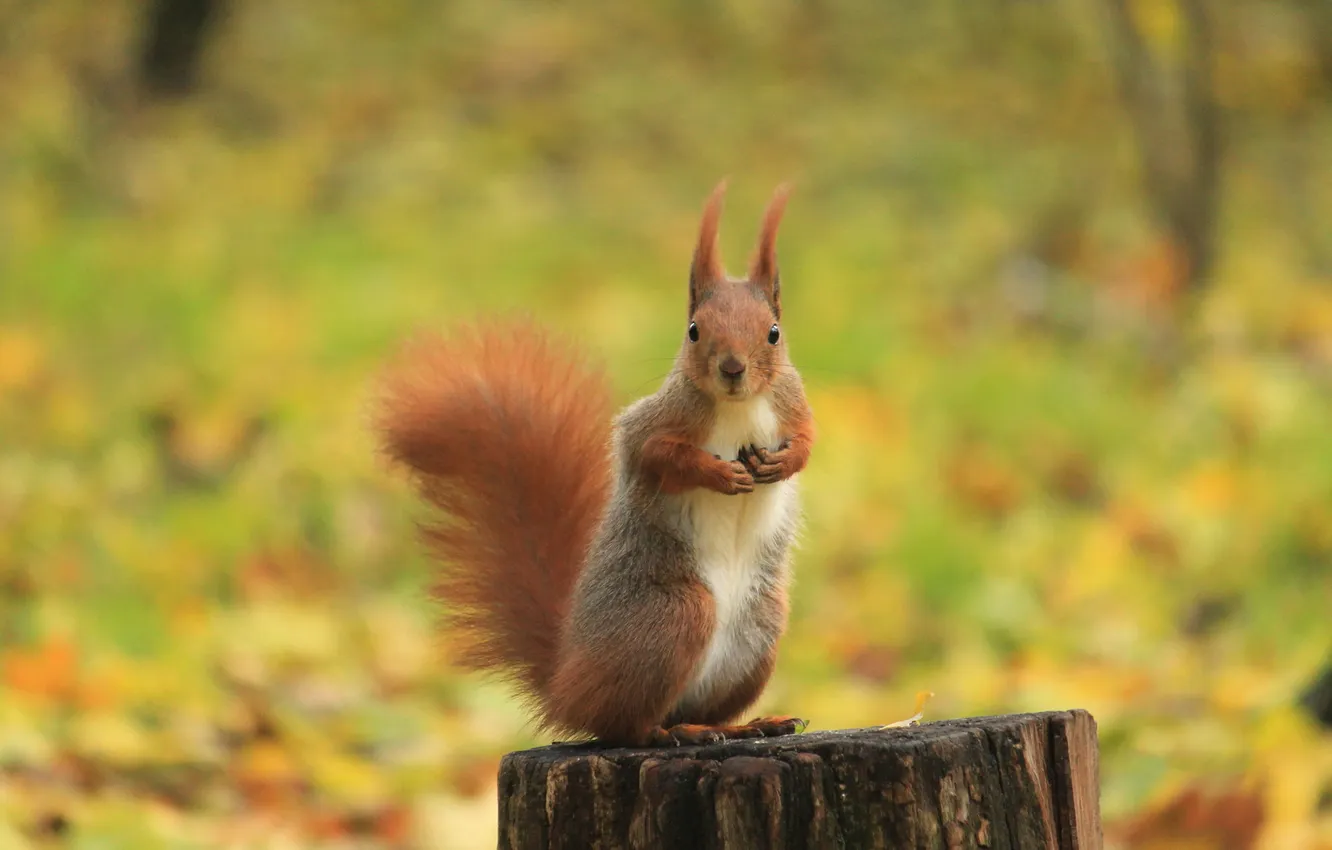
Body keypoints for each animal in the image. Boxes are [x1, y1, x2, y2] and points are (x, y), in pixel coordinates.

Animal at [374, 181, 815, 747]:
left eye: (774, 332)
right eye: (694, 331)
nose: (733, 369)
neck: (739, 407)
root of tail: (568, 684)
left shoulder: (792, 403)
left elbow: (808, 440)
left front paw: (782, 463)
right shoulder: (655, 423)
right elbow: (655, 454)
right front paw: (719, 473)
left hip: (759, 631)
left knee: (696, 708)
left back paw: (746, 724)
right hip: (675, 615)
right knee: (625, 725)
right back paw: (677, 732)